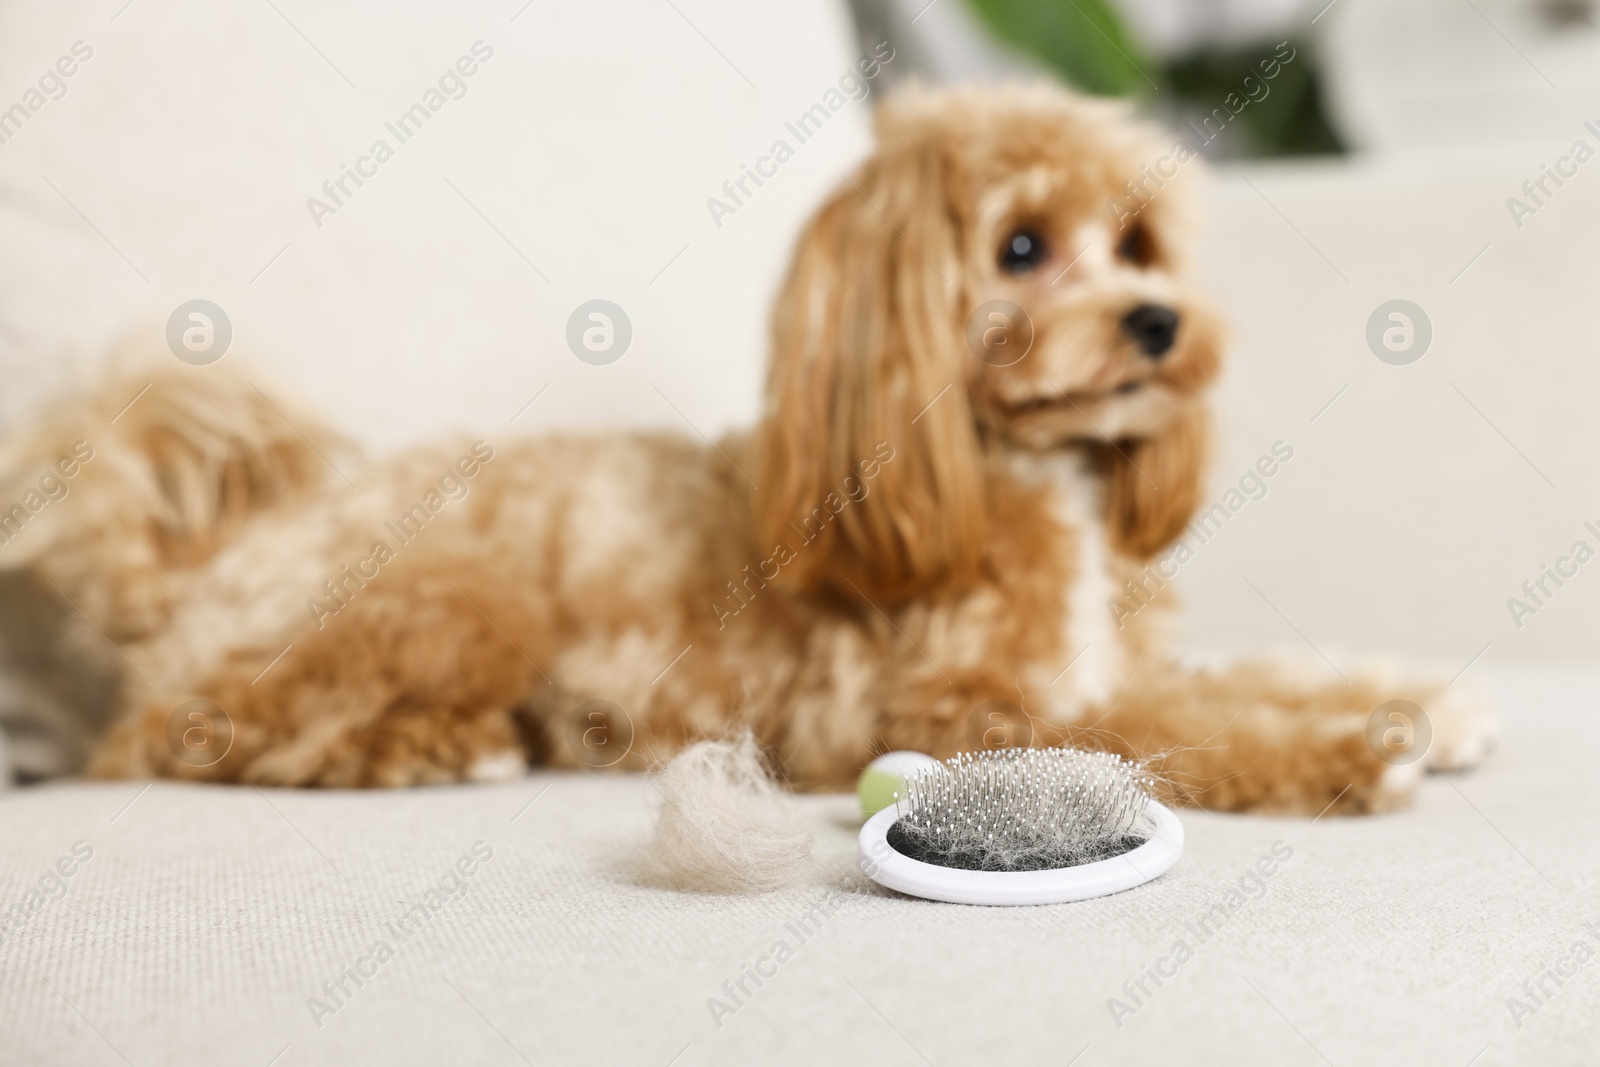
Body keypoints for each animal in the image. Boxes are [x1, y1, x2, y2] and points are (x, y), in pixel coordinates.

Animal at [0, 85, 1484, 809]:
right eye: (1019, 247)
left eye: (1136, 243)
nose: (1162, 323)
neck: (1008, 477)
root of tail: (192, 569)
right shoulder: (952, 710)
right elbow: (1176, 726)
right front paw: (1348, 748)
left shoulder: (1106, 656)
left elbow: (1238, 672)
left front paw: (1419, 695)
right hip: (450, 600)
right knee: (181, 733)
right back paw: (431, 749)